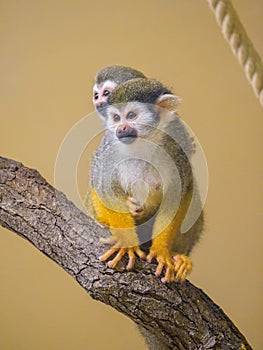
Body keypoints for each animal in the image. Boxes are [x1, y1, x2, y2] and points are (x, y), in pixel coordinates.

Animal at [88, 78, 204, 284]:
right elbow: (104, 189)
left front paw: (161, 251)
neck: (142, 144)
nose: (121, 128)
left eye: (131, 115)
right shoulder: (110, 150)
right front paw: (126, 243)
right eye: (116, 118)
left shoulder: (175, 151)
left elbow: (179, 196)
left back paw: (180, 257)